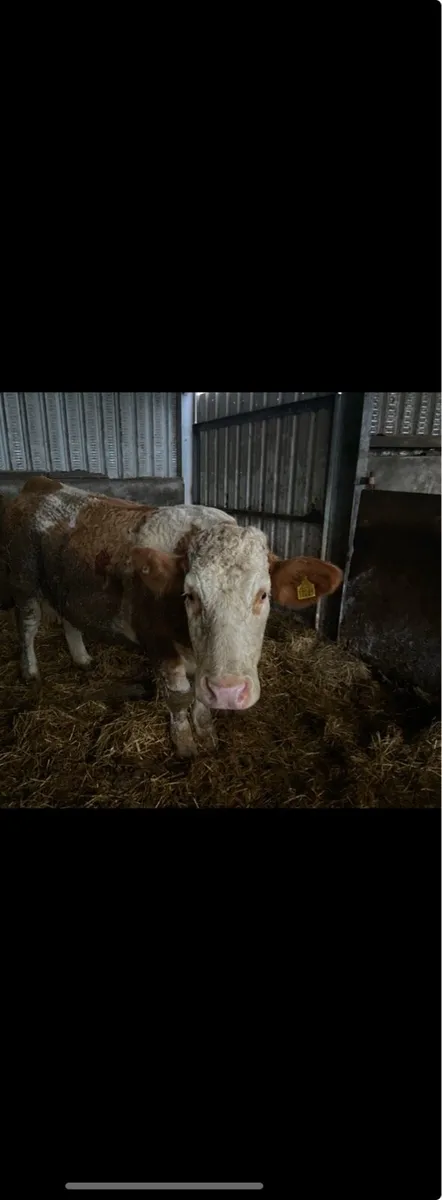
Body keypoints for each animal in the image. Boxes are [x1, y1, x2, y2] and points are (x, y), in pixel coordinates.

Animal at [0, 477, 343, 757]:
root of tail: (42, 483)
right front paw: (185, 744)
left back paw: (82, 658)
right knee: (27, 626)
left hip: (66, 585)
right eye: (190, 595)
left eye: (263, 595)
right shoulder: (158, 644)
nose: (229, 692)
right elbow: (179, 698)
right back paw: (30, 672)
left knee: (69, 619)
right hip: (22, 581)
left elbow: (202, 700)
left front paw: (207, 734)